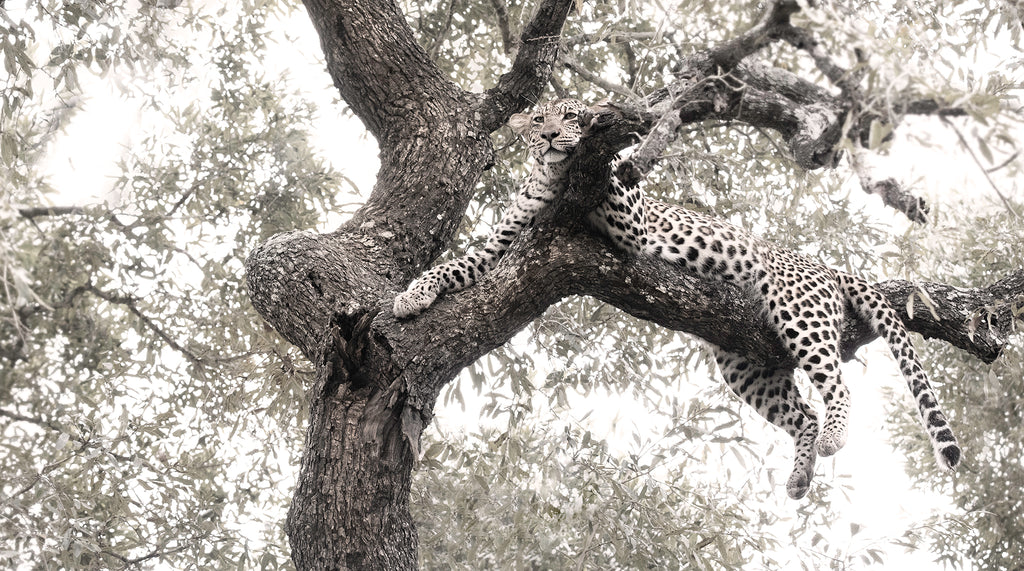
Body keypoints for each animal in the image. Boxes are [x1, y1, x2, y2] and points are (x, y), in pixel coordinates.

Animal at [393, 98, 961, 499]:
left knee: (836, 386)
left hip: (800, 313)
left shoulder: (632, 224)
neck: (553, 180)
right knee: (803, 413)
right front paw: (410, 296)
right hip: (745, 364)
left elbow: (614, 175)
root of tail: (823, 265)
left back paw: (835, 436)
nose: (553, 135)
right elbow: (454, 264)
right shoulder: (502, 245)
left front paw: (603, 148)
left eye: (571, 116)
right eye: (537, 120)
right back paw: (800, 478)